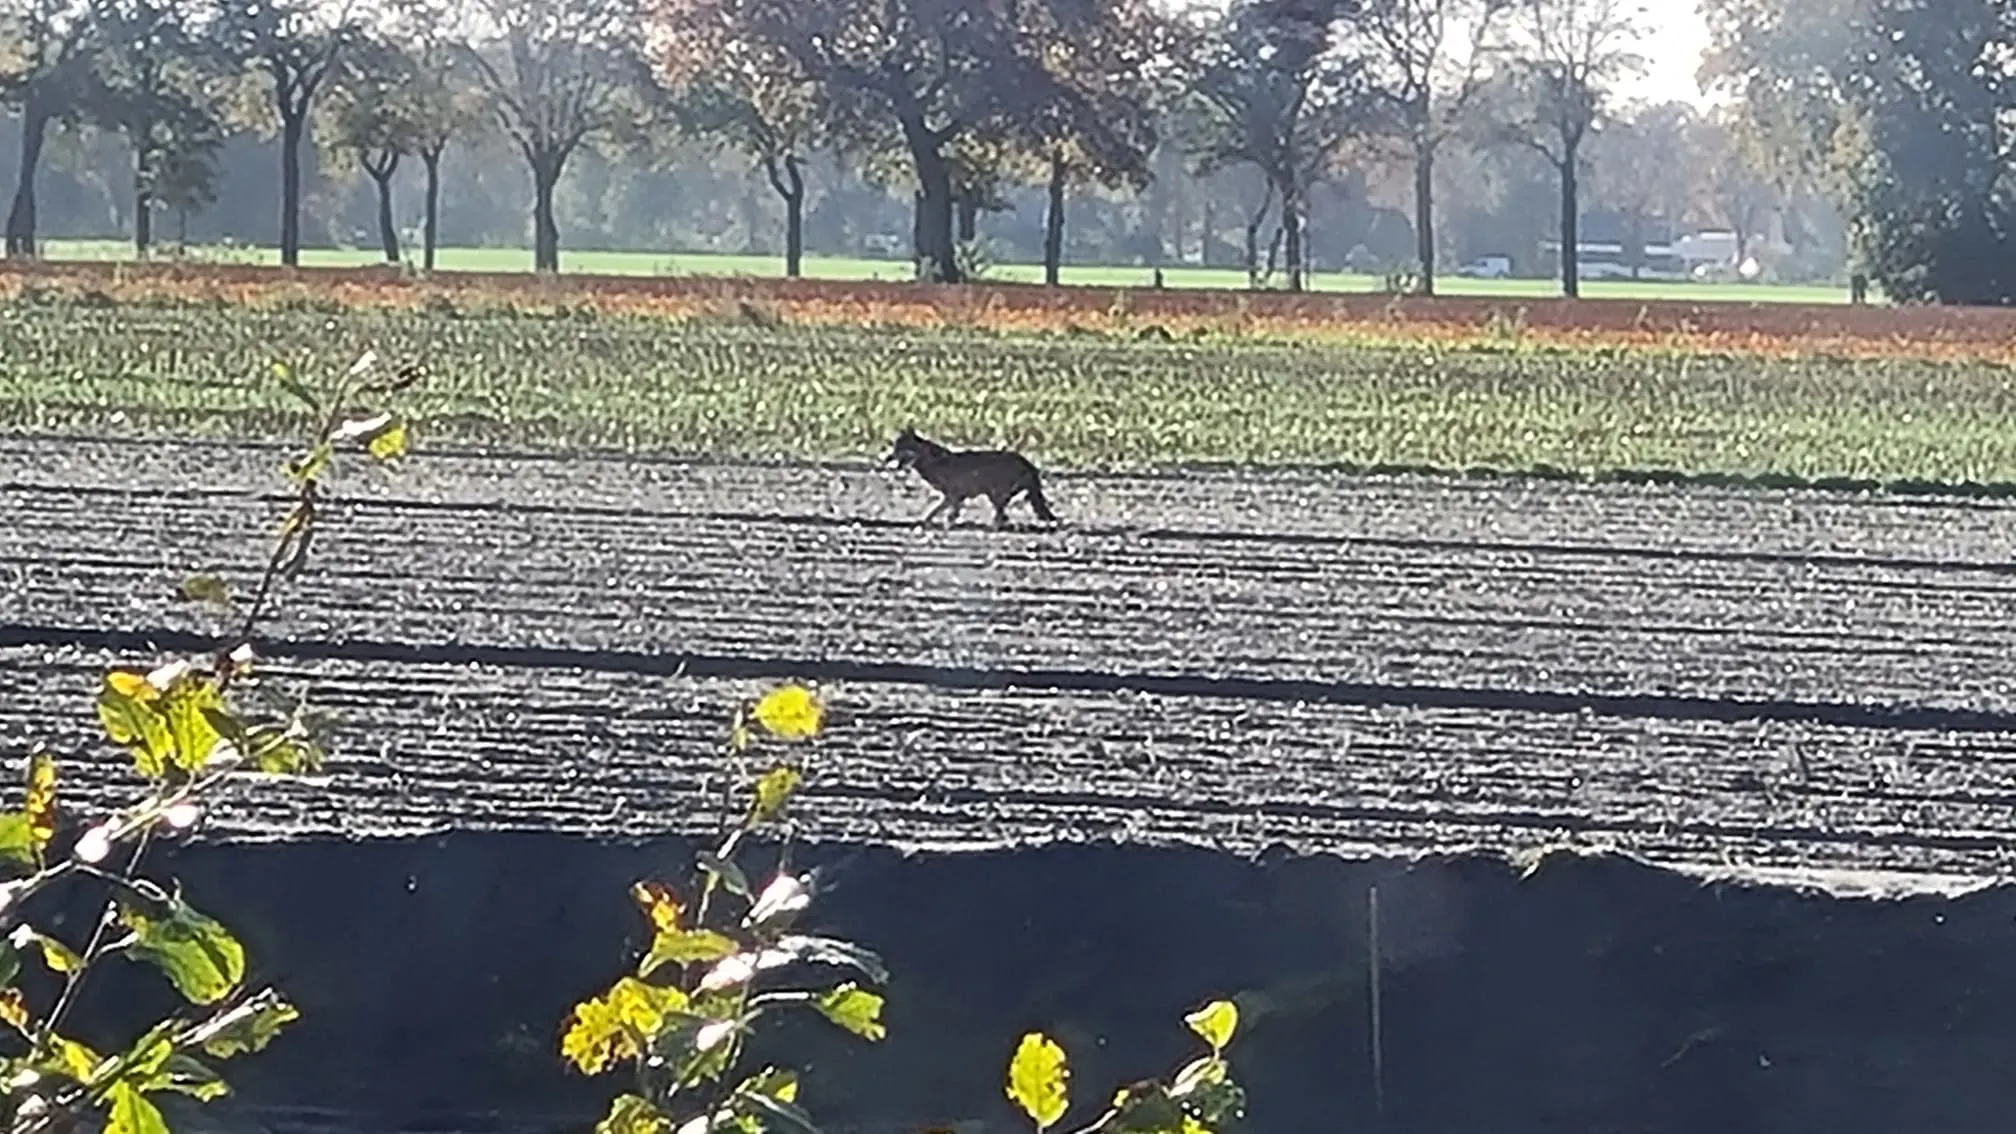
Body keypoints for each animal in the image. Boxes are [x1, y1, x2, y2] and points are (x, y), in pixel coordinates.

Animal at [885, 427, 1060, 528]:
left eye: (899, 449)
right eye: (894, 448)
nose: (888, 457)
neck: (933, 461)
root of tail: (1029, 464)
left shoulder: (953, 495)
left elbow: (942, 511)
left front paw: (940, 522)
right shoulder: (956, 496)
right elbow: (942, 511)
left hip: (995, 492)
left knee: (1001, 514)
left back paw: (994, 526)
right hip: (995, 494)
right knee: (1003, 514)